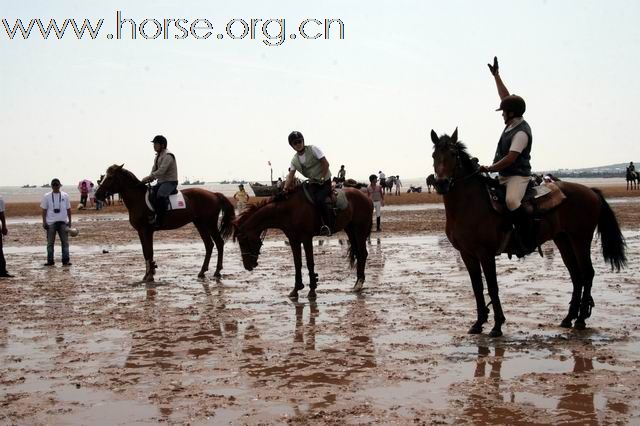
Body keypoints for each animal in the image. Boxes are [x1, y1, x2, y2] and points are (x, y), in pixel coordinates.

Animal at [95, 165, 235, 282]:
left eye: (110, 177)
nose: (97, 194)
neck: (138, 199)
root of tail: (214, 194)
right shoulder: (143, 231)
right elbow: (147, 252)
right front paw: (149, 273)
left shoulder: (145, 230)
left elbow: (148, 252)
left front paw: (149, 275)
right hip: (200, 224)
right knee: (209, 245)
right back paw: (202, 271)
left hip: (210, 223)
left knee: (219, 243)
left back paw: (217, 271)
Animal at [232, 186, 372, 300]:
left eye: (242, 242)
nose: (247, 266)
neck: (289, 210)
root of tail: (366, 197)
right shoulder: (293, 240)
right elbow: (297, 263)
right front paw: (296, 289)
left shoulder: (306, 238)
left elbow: (309, 263)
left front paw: (312, 290)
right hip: (350, 229)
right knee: (358, 253)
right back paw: (357, 283)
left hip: (359, 229)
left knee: (362, 253)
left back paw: (359, 284)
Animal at [430, 129, 624, 336]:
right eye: (434, 155)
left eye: (453, 154)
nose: (441, 183)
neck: (469, 204)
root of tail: (591, 191)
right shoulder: (467, 254)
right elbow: (477, 287)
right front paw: (478, 323)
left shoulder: (486, 254)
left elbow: (492, 287)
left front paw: (497, 325)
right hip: (563, 240)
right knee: (576, 275)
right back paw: (568, 318)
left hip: (580, 239)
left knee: (587, 273)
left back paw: (580, 320)